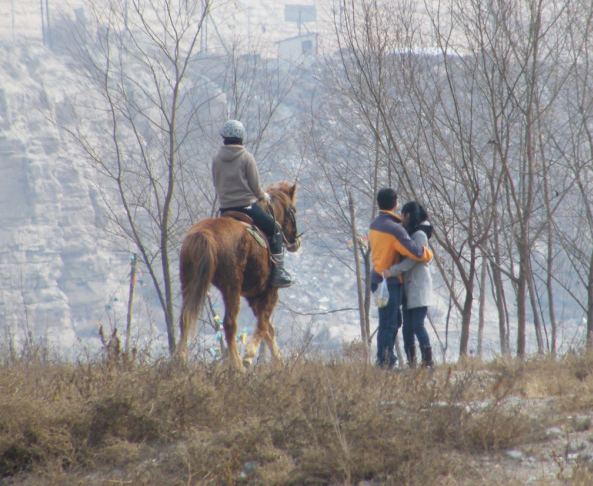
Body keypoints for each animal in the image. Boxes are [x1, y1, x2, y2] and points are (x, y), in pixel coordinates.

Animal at [177, 181, 300, 368]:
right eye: (293, 209)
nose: (296, 242)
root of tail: (204, 233)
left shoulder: (254, 297)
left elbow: (268, 329)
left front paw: (278, 361)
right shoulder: (269, 292)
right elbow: (264, 323)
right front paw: (249, 355)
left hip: (188, 282)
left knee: (185, 318)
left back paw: (180, 359)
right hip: (232, 287)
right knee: (230, 324)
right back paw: (237, 365)